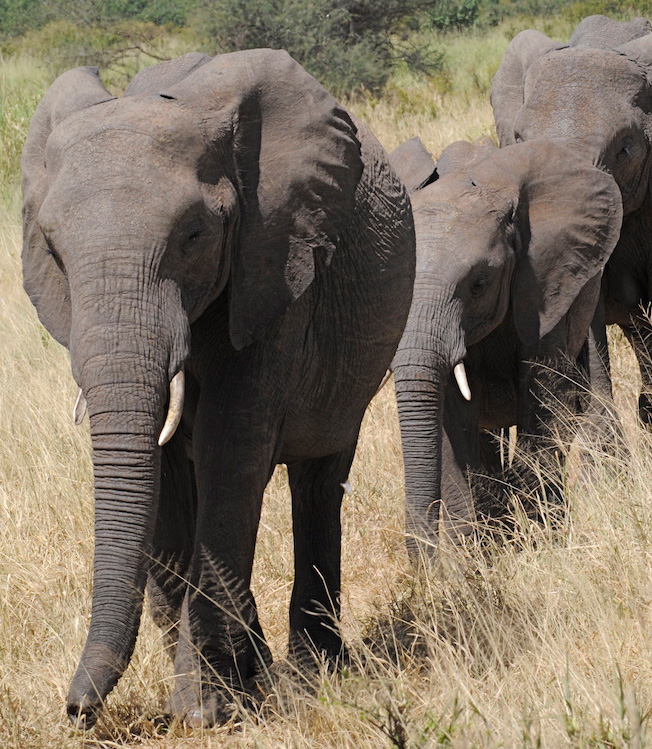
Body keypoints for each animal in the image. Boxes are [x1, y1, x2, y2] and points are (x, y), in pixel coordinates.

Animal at [24, 49, 418, 728]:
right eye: (53, 249)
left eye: (193, 237)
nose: (76, 711)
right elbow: (162, 470)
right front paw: (225, 696)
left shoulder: (275, 265)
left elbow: (228, 451)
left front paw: (201, 715)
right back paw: (258, 670)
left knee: (317, 481)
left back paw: (312, 674)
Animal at [390, 136, 624, 556]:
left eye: (479, 284)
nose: (426, 562)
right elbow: (453, 422)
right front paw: (475, 560)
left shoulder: (545, 283)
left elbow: (544, 398)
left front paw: (544, 546)